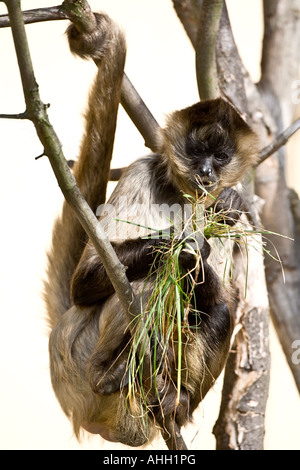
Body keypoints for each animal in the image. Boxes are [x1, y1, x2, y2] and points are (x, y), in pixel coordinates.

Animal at [45, 12, 260, 448]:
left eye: (220, 156)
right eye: (197, 151)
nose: (206, 172)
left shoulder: (240, 218)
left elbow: (225, 295)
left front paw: (205, 244)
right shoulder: (142, 171)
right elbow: (85, 280)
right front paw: (181, 247)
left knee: (217, 309)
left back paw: (175, 402)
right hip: (77, 354)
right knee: (145, 282)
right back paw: (108, 373)